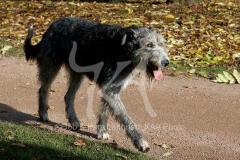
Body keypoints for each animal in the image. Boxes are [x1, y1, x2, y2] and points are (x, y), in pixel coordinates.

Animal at [23, 16, 169, 152]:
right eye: (149, 45)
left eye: (161, 44)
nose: (166, 62)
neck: (122, 51)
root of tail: (52, 24)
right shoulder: (110, 89)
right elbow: (126, 118)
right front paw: (140, 142)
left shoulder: (112, 90)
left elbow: (105, 111)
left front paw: (102, 132)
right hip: (51, 67)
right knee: (43, 89)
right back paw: (43, 113)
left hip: (77, 74)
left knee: (68, 96)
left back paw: (73, 120)